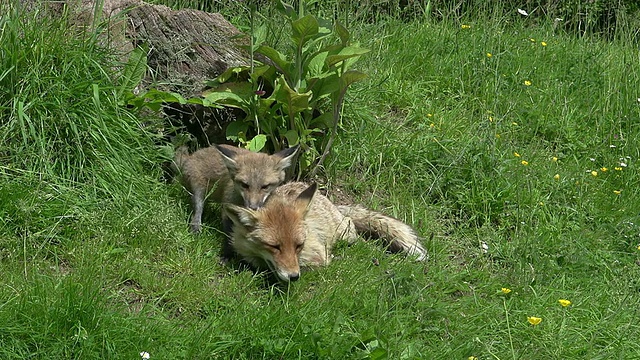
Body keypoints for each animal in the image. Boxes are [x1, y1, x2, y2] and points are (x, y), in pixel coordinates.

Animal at [222, 183, 428, 282]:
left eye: (299, 245)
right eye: (274, 246)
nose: (294, 277)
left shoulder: (317, 255)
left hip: (345, 233)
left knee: (352, 226)